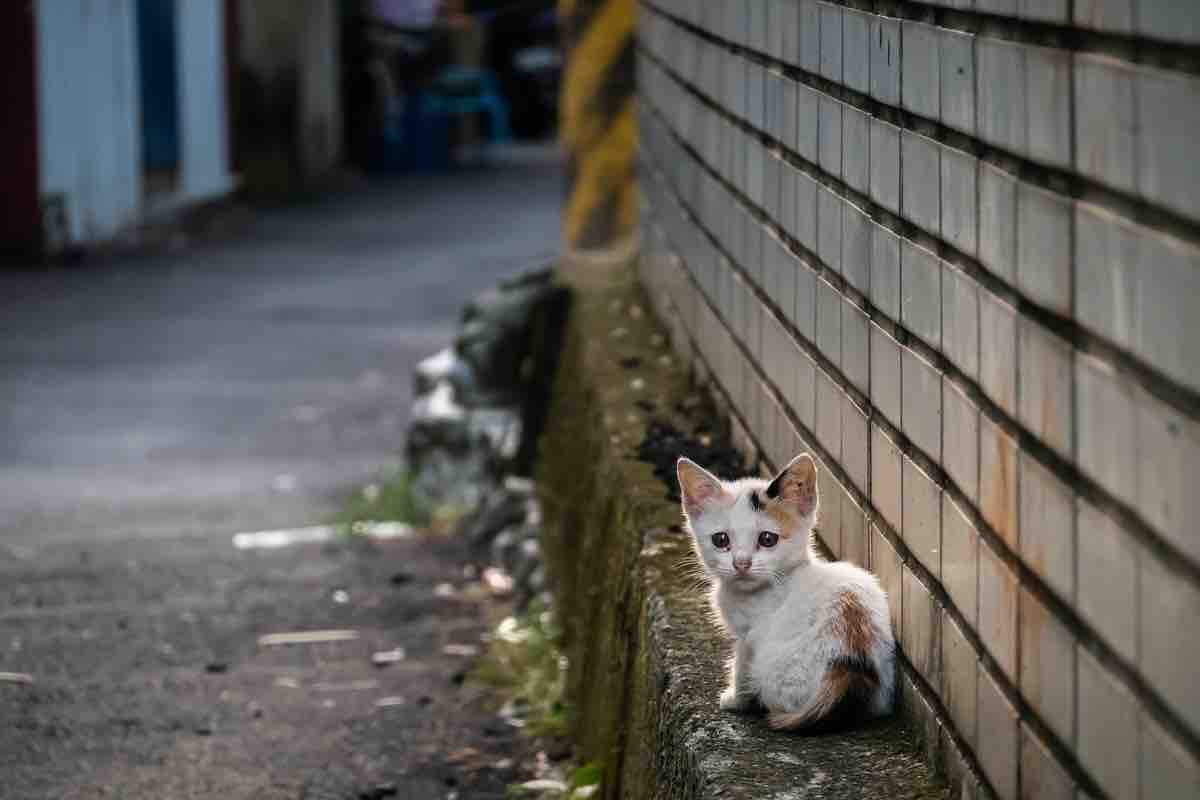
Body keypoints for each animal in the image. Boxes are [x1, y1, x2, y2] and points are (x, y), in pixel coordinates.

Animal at [676, 453, 892, 729]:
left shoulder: (749, 636)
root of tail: (849, 666)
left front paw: (735, 699)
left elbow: (741, 664)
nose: (741, 564)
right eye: (720, 540)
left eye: (768, 539)